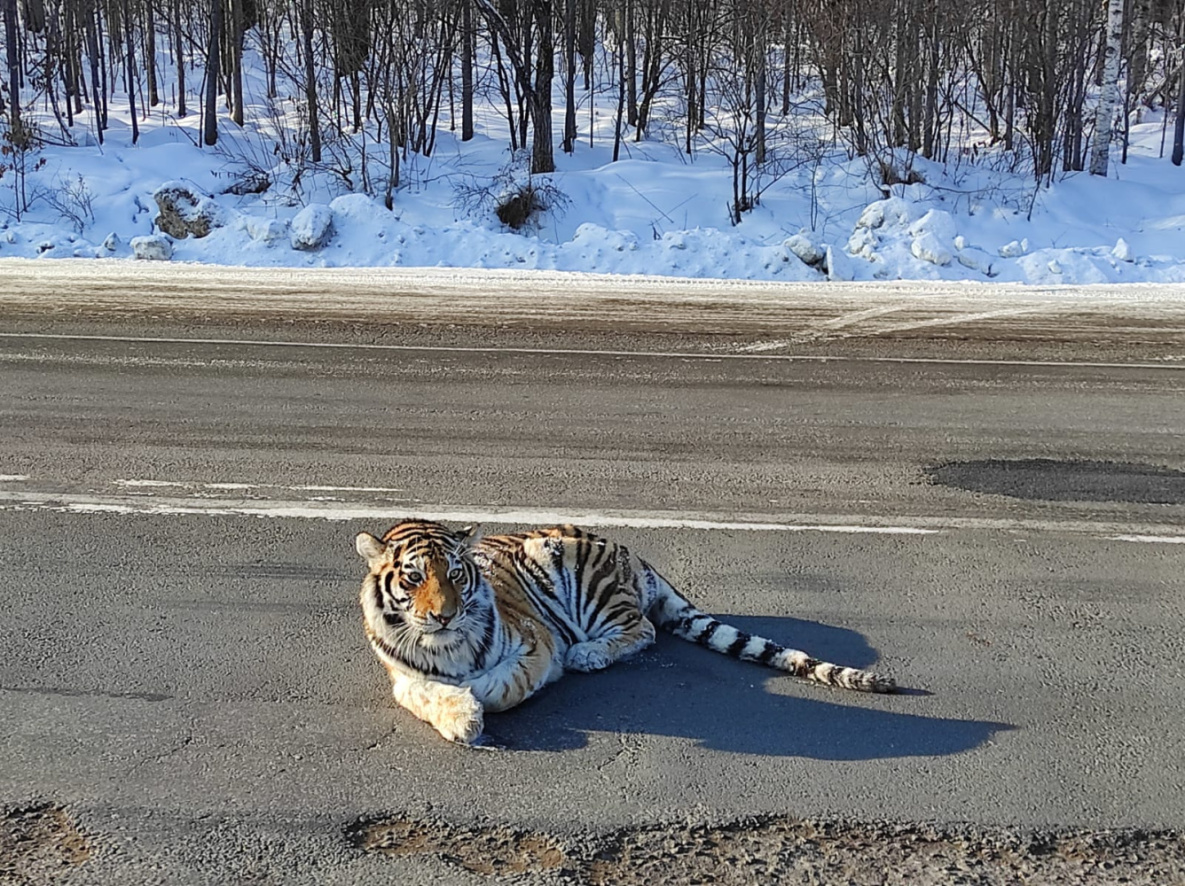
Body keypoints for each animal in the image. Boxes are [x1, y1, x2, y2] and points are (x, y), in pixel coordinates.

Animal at [355, 516, 891, 743]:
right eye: (414, 577)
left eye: (455, 574)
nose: (445, 614)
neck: (444, 644)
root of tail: (636, 554)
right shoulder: (403, 677)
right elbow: (424, 694)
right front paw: (458, 714)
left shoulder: (535, 641)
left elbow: (505, 684)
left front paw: (475, 700)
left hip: (583, 586)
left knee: (643, 629)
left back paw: (587, 654)